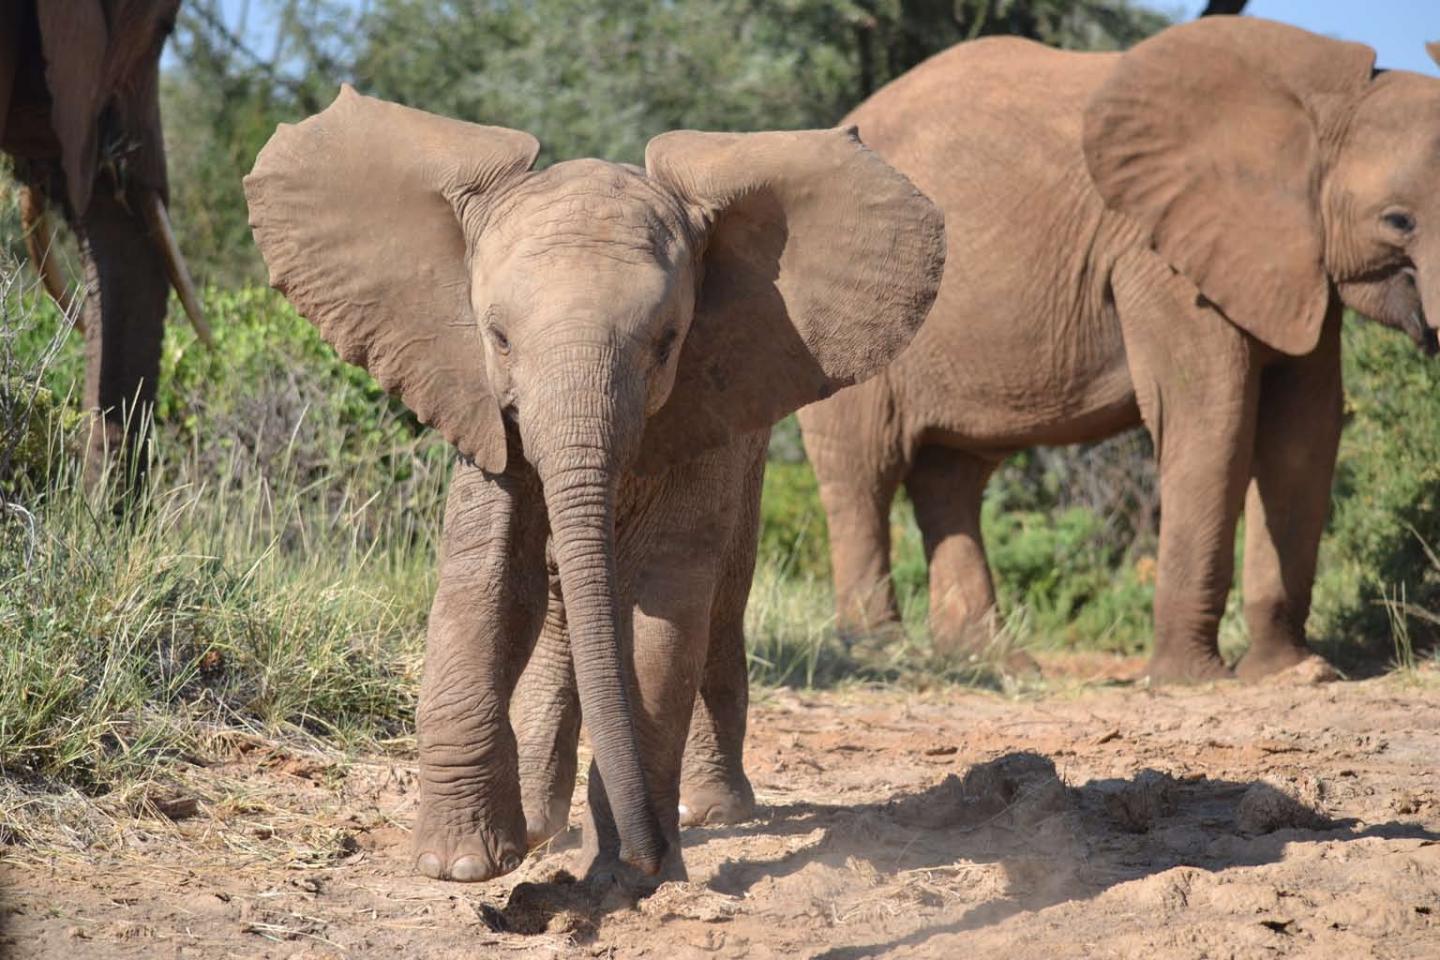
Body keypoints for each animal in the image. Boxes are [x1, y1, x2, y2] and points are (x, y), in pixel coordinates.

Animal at [243, 87, 945, 885]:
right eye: (497, 339)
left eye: (667, 343)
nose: (647, 855)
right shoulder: (480, 404)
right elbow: (485, 576)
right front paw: (462, 865)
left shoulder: (703, 407)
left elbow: (666, 602)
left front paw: (631, 874)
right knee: (559, 605)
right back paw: (544, 825)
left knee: (717, 598)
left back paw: (711, 813)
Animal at [794, 17, 1440, 683]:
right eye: (1398, 221)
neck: (1326, 104)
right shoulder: (1158, 256)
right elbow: (1211, 420)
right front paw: (1193, 681)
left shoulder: (1297, 264)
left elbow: (1305, 435)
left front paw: (1293, 672)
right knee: (863, 472)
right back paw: (881, 653)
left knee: (951, 476)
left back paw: (996, 663)